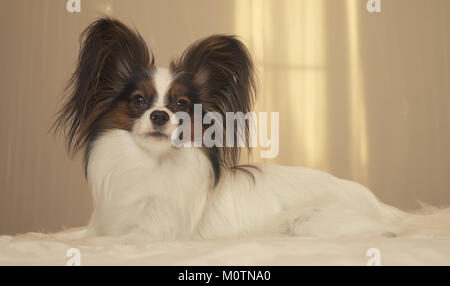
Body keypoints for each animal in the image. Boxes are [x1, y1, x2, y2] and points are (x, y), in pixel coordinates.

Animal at [54, 17, 442, 240]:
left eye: (181, 105)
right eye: (138, 101)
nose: (161, 115)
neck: (150, 166)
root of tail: (381, 205)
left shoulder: (153, 233)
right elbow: (80, 236)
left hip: (307, 223)